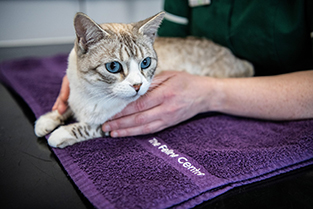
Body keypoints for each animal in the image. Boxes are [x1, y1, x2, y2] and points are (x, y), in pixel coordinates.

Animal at [34, 11, 254, 149]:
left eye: (145, 63)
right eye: (113, 67)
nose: (138, 85)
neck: (93, 93)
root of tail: (241, 61)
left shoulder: (115, 123)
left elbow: (91, 126)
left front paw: (60, 134)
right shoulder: (74, 92)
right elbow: (66, 104)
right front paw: (47, 119)